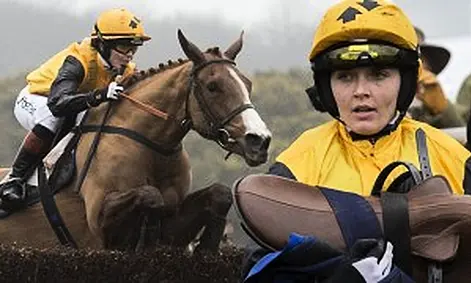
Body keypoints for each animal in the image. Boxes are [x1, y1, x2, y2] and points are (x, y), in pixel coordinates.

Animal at [0, 30, 272, 253]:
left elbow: (220, 193)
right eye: (212, 86)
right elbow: (150, 195)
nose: (259, 141)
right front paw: (145, 241)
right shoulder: (100, 224)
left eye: (247, 84)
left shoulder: (172, 228)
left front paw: (207, 249)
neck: (152, 146)